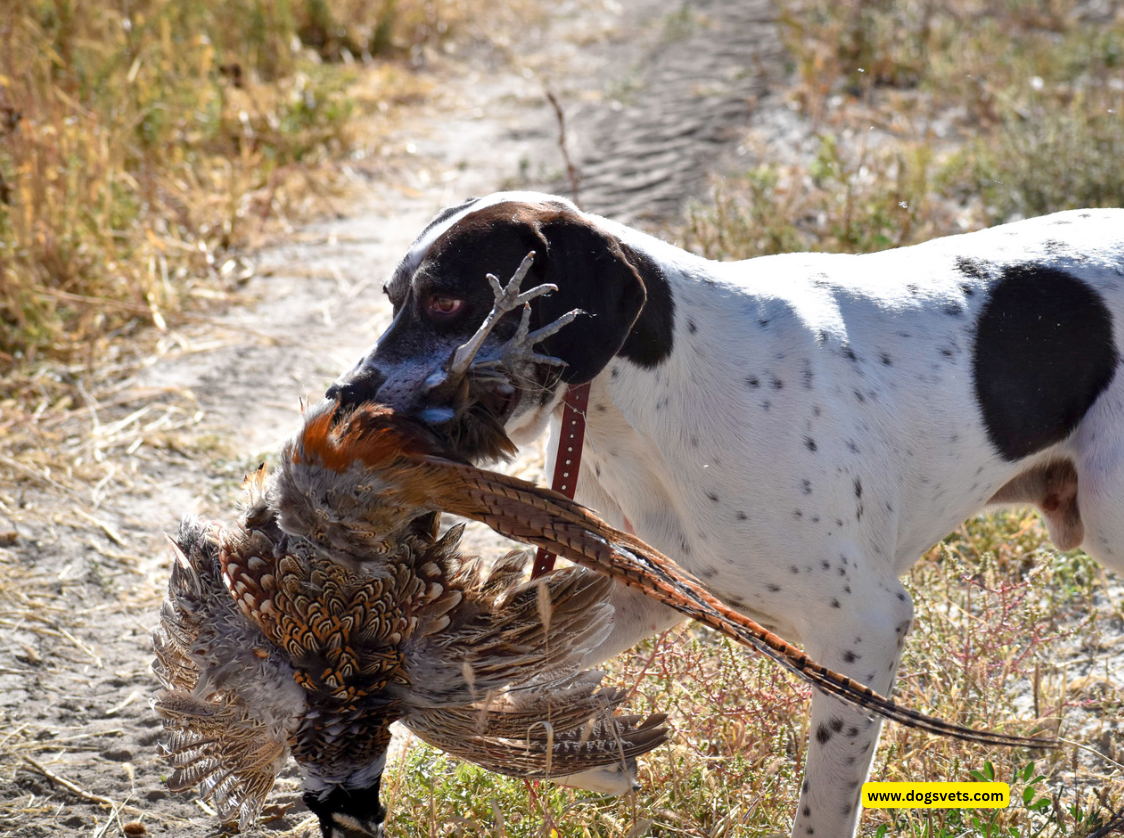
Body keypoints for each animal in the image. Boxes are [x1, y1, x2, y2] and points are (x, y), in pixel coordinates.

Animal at [325, 190, 1124, 835]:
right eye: (392, 295)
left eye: (449, 302)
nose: (344, 395)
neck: (651, 399)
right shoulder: (637, 591)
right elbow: (460, 688)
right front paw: (586, 758)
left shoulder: (862, 628)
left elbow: (823, 807)